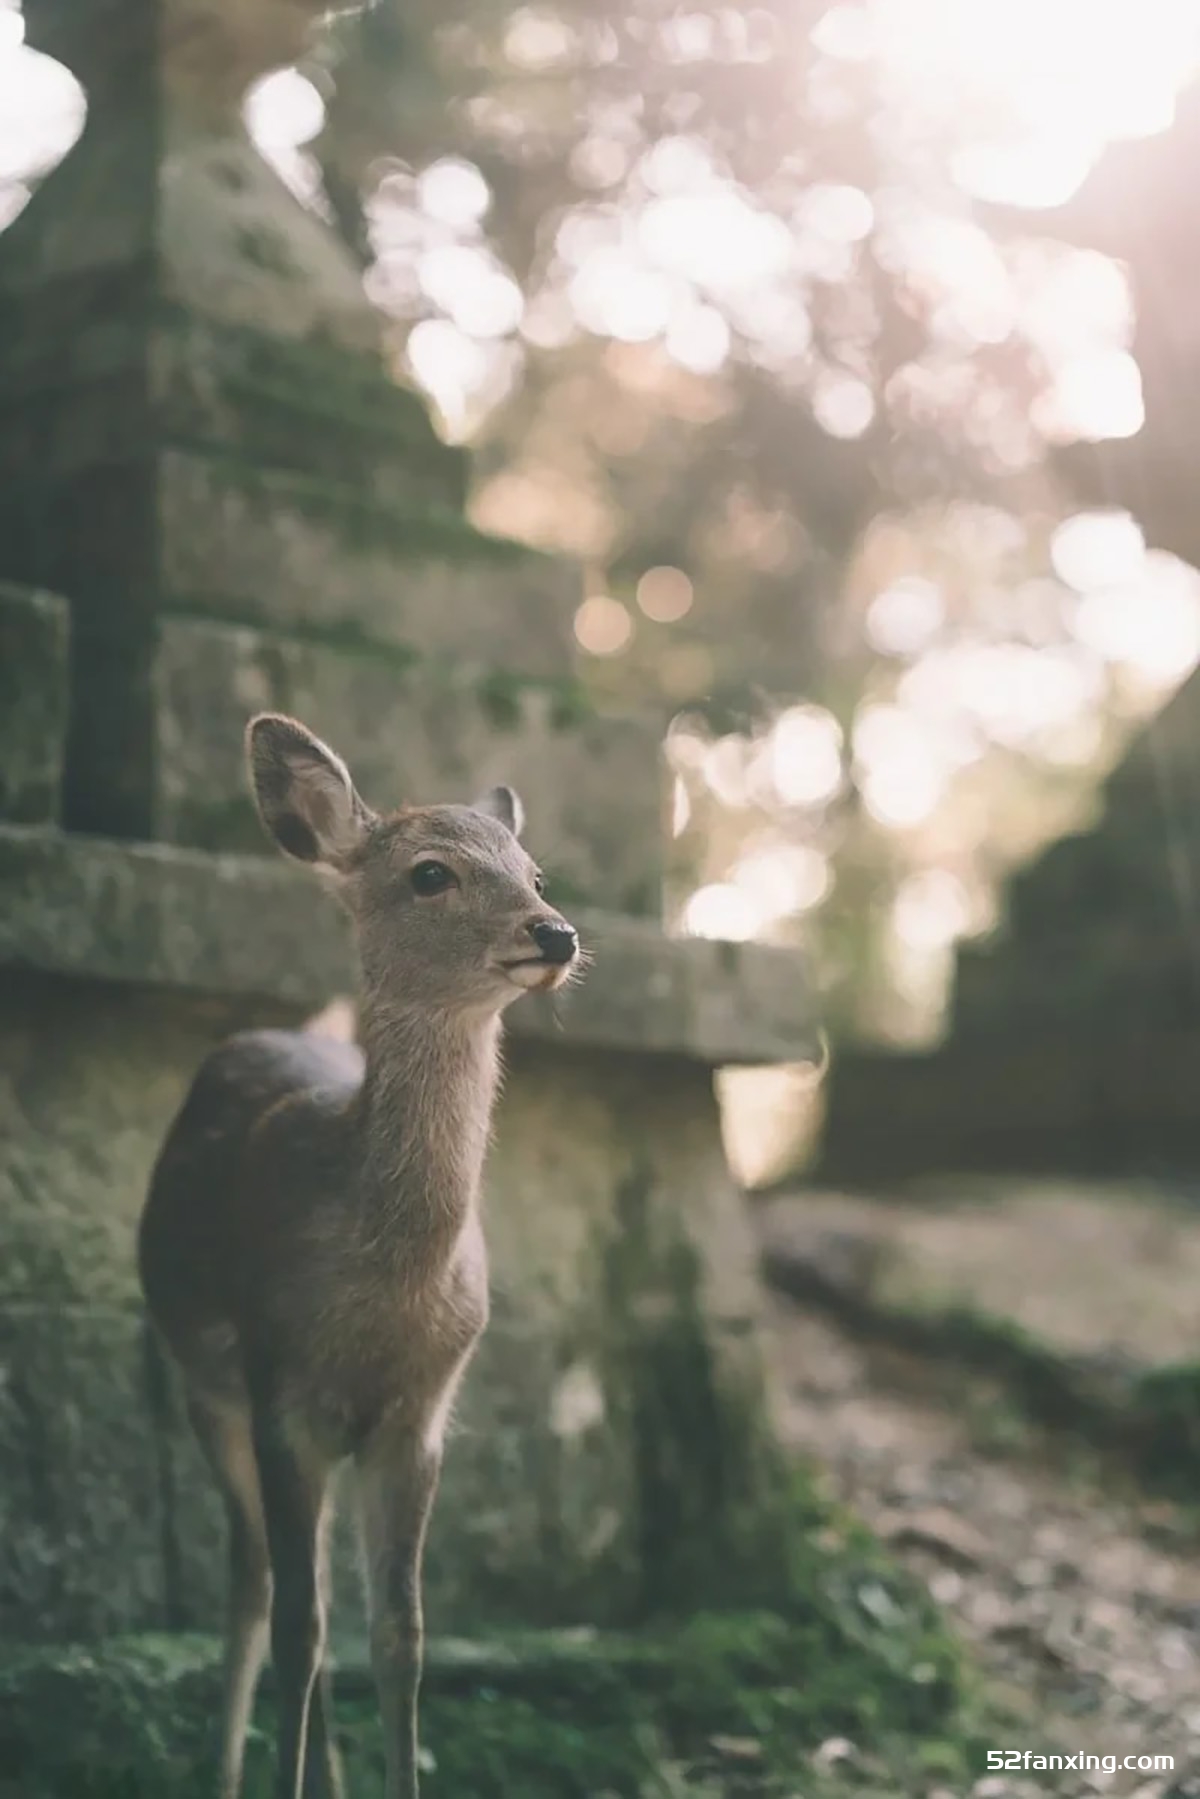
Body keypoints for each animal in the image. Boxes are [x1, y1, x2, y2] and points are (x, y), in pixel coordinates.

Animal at [135, 708, 582, 1791]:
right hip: (203, 1389)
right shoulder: (279, 1390)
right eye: (429, 873)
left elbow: (400, 1633)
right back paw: (219, 1773)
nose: (554, 931)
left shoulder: (418, 1415)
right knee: (255, 1584)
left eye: (534, 870)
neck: (384, 1293)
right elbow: (299, 1625)